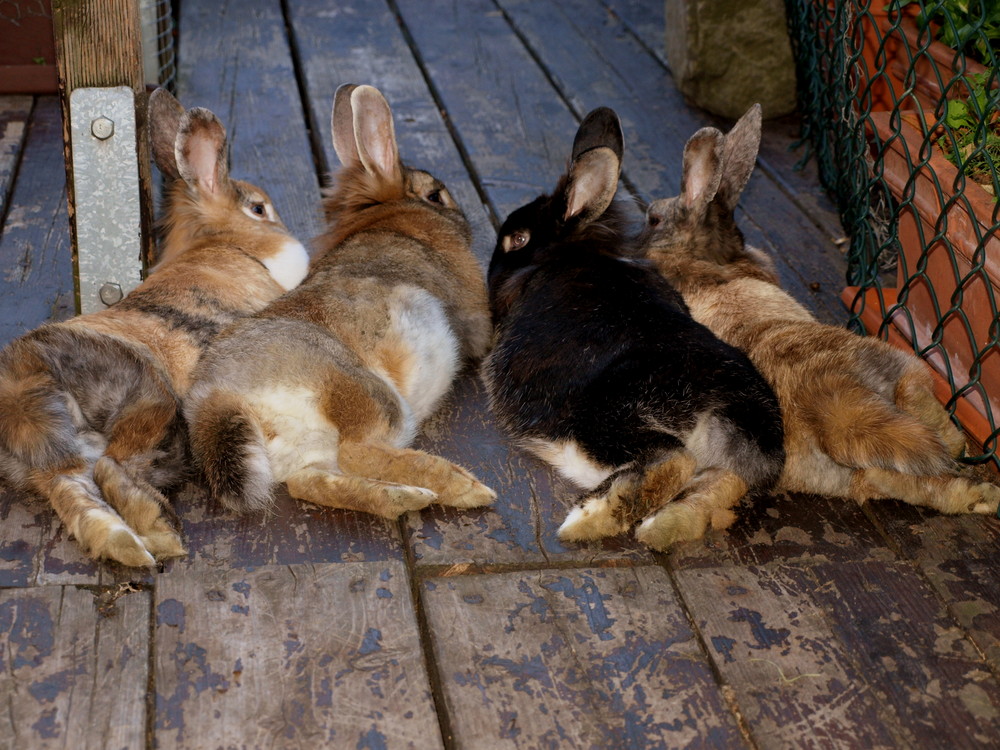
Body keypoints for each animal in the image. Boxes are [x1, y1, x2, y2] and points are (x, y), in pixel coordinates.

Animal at [0, 88, 308, 568]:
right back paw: (159, 529)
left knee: (76, 490)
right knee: (111, 465)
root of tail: (17, 390)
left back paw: (131, 544)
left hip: (61, 455)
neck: (228, 243)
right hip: (149, 398)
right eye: (258, 209)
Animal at [184, 82, 496, 516]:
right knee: (358, 451)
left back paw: (403, 497)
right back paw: (462, 487)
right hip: (367, 393)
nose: (465, 219)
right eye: (435, 195)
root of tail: (218, 397)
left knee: (312, 483)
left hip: (306, 451)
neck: (390, 217)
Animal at [480, 107, 784, 552]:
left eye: (517, 239)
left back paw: (591, 519)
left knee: (672, 458)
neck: (569, 253)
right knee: (717, 483)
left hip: (595, 420)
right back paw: (664, 525)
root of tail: (717, 406)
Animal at [632, 103, 1000, 520]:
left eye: (653, 219)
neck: (701, 256)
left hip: (867, 467)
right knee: (929, 427)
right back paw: (973, 469)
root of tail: (836, 415)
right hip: (903, 368)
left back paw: (979, 496)